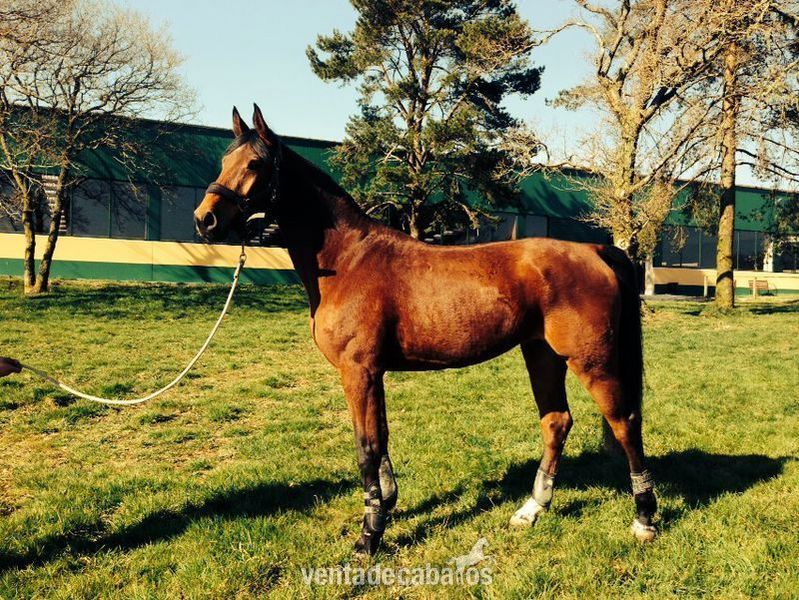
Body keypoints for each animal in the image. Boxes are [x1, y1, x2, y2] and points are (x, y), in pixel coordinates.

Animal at [194, 104, 658, 555]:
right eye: (223, 160)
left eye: (255, 163)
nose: (205, 220)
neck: (348, 261)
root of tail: (596, 251)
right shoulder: (373, 374)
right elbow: (381, 439)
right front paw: (385, 509)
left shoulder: (358, 372)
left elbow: (366, 448)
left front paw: (369, 537)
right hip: (542, 354)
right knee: (557, 422)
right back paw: (532, 510)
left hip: (591, 360)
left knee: (624, 422)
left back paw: (644, 518)